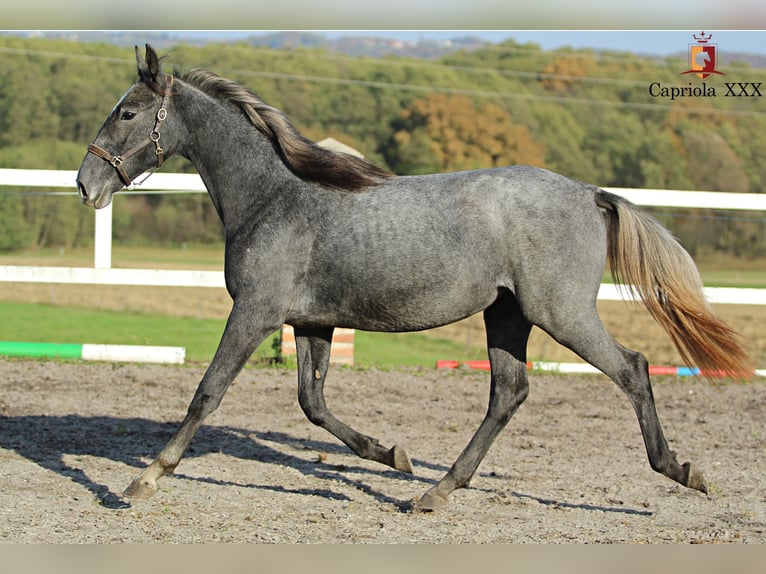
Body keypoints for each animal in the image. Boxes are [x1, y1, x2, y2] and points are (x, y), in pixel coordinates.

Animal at [76, 46, 752, 512]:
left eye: (128, 111)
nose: (86, 183)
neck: (275, 197)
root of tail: (590, 194)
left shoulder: (255, 313)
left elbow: (207, 393)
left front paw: (143, 479)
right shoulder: (311, 322)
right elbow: (314, 404)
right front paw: (392, 456)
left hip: (561, 313)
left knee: (632, 369)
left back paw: (681, 470)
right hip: (507, 314)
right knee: (509, 392)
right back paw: (435, 490)